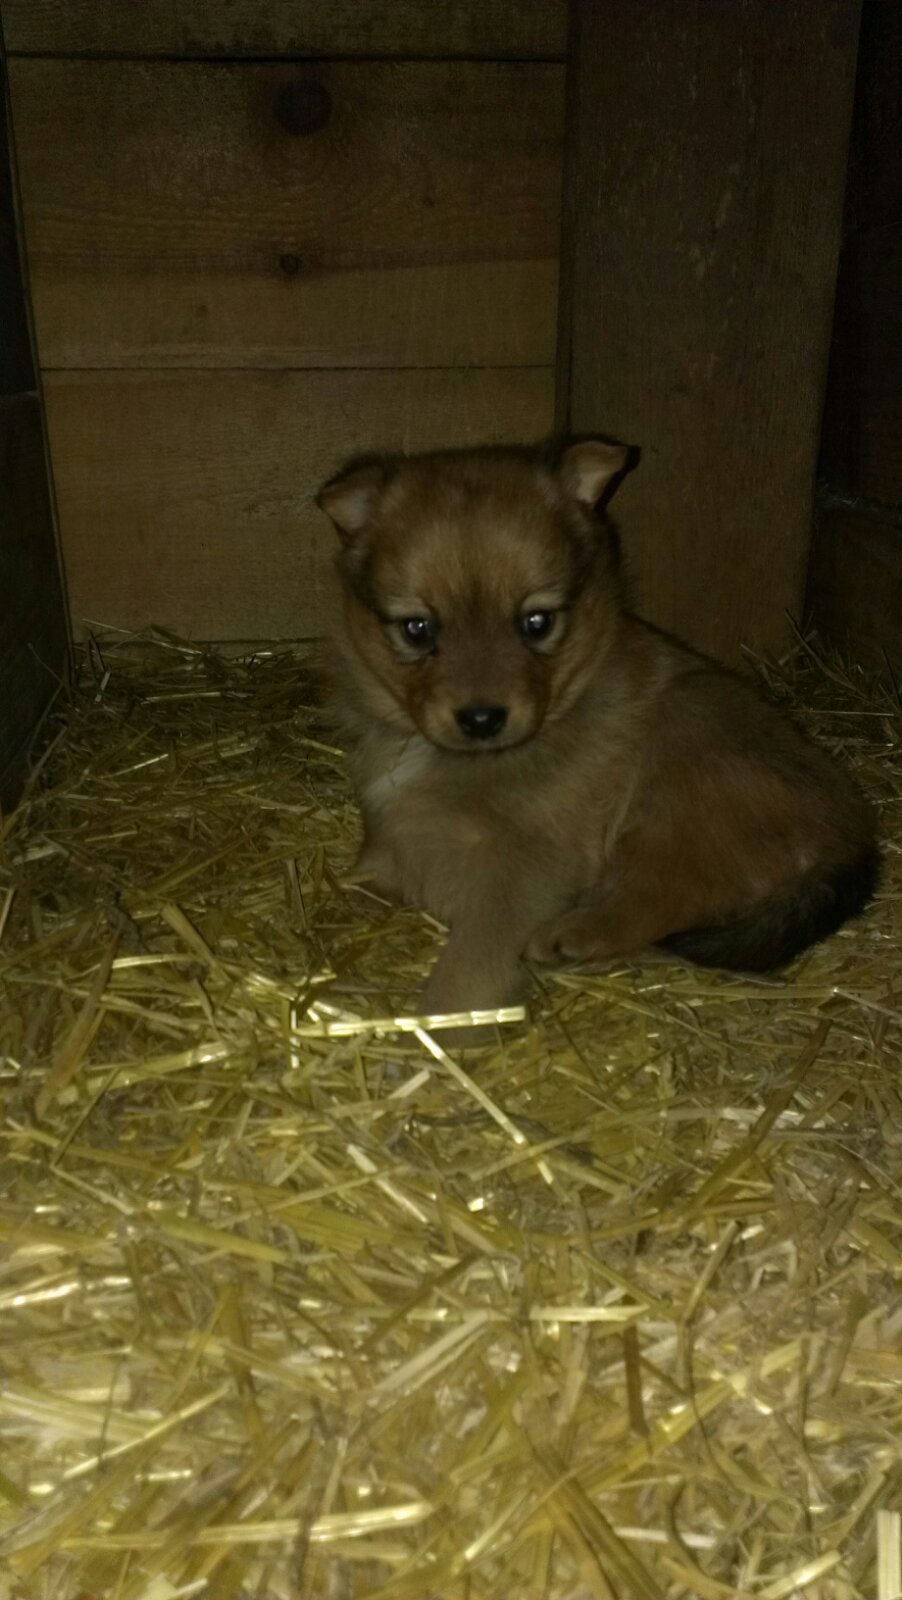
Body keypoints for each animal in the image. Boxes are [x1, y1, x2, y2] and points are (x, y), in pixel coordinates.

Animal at [317, 442, 879, 1035]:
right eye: (417, 629)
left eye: (537, 622)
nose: (482, 719)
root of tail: (851, 837)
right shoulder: (390, 844)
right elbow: (366, 873)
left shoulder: (527, 868)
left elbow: (473, 962)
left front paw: (447, 1026)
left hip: (683, 771)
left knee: (664, 895)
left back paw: (572, 937)